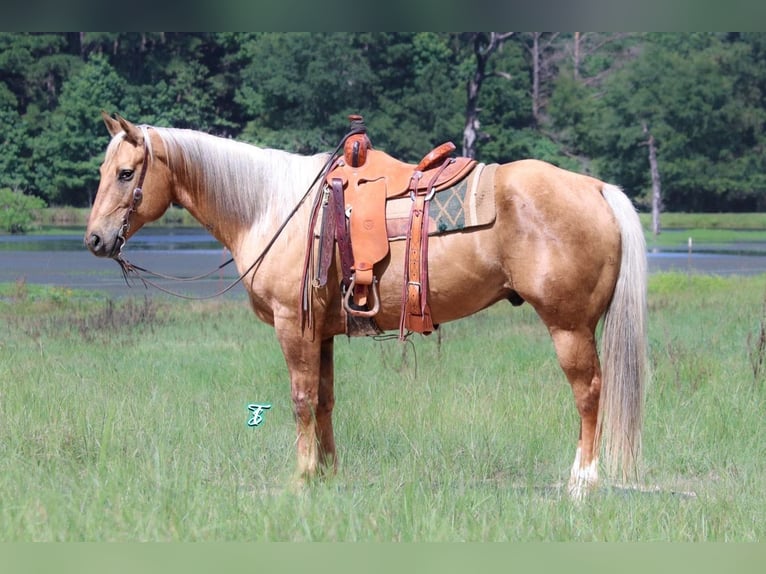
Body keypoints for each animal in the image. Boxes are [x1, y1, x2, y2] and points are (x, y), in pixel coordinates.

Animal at [85, 112, 648, 500]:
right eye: (104, 170)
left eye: (127, 173)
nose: (94, 240)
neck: (272, 208)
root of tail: (596, 187)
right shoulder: (322, 332)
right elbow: (326, 400)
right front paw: (329, 474)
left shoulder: (293, 327)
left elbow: (301, 400)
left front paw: (301, 478)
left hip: (569, 327)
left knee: (588, 395)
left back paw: (582, 482)